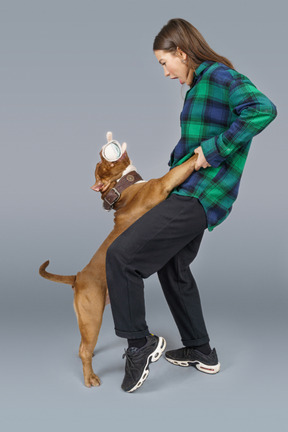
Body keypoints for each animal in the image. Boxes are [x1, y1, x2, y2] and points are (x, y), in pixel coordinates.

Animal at [38, 132, 198, 388]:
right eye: (103, 165)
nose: (101, 151)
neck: (123, 187)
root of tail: (78, 277)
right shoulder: (162, 184)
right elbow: (181, 168)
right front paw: (199, 154)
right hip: (92, 317)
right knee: (84, 349)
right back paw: (90, 377)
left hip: (89, 317)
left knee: (83, 344)